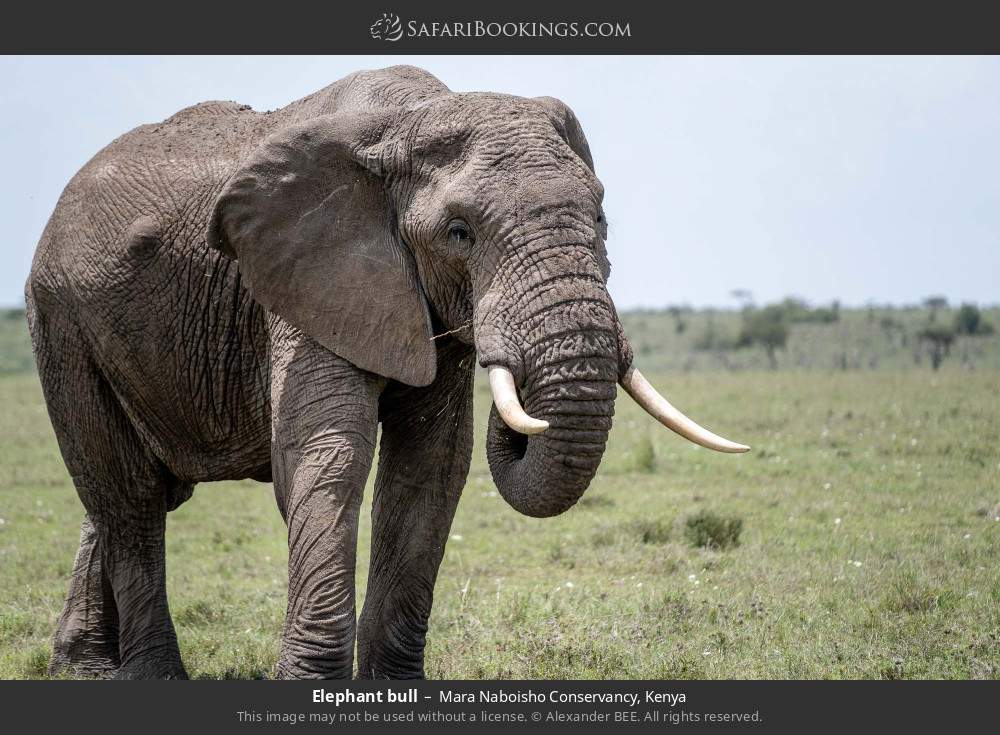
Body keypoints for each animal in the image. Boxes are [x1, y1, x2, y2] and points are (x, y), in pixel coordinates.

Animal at [23, 66, 748, 680]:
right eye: (459, 233)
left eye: (600, 218)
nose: (521, 413)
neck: (407, 124)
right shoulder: (305, 278)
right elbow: (330, 454)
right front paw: (311, 684)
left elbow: (432, 467)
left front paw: (394, 685)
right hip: (60, 318)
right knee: (128, 495)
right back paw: (148, 677)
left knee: (131, 492)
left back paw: (83, 668)